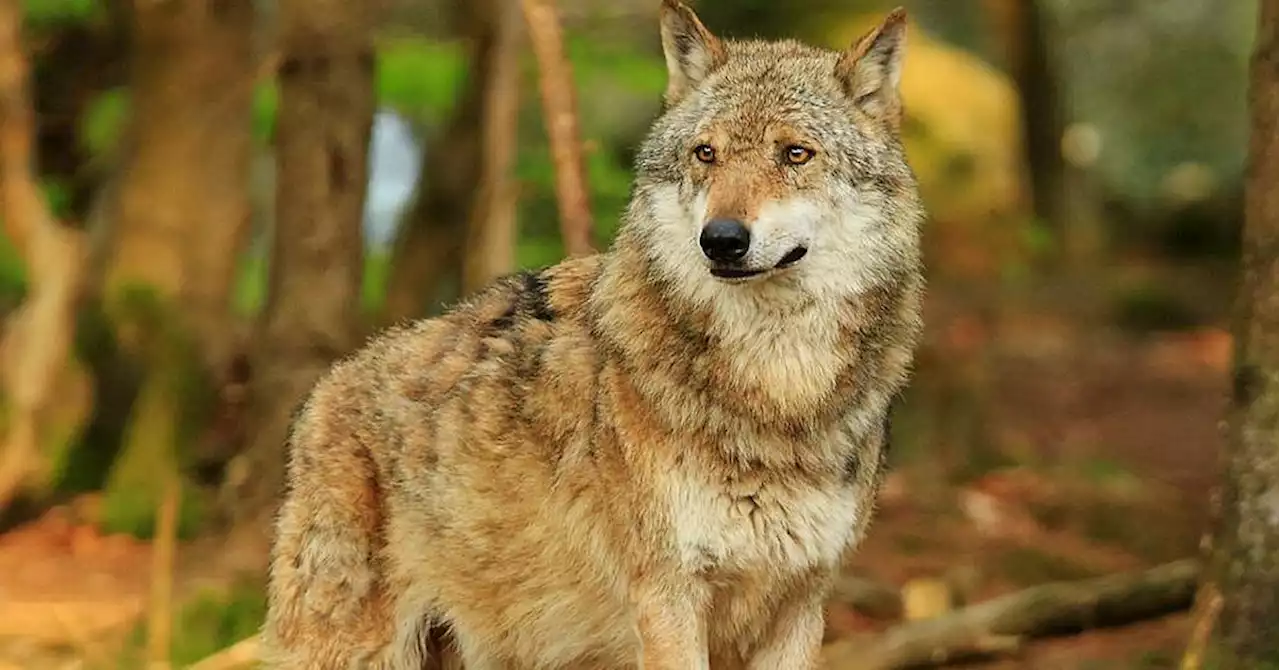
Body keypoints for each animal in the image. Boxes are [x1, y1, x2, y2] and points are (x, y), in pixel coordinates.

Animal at [262, 2, 921, 666]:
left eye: (796, 154)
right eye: (706, 153)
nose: (721, 239)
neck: (778, 391)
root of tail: (324, 391)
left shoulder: (801, 605)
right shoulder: (667, 596)